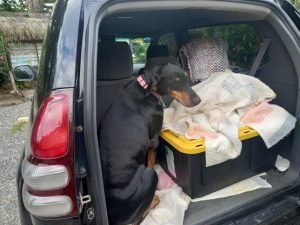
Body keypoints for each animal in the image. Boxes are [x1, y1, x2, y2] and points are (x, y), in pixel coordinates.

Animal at [99, 62, 202, 224]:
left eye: (186, 77)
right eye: (176, 81)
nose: (198, 100)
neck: (146, 89)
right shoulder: (154, 141)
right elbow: (152, 162)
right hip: (149, 175)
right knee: (142, 213)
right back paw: (154, 199)